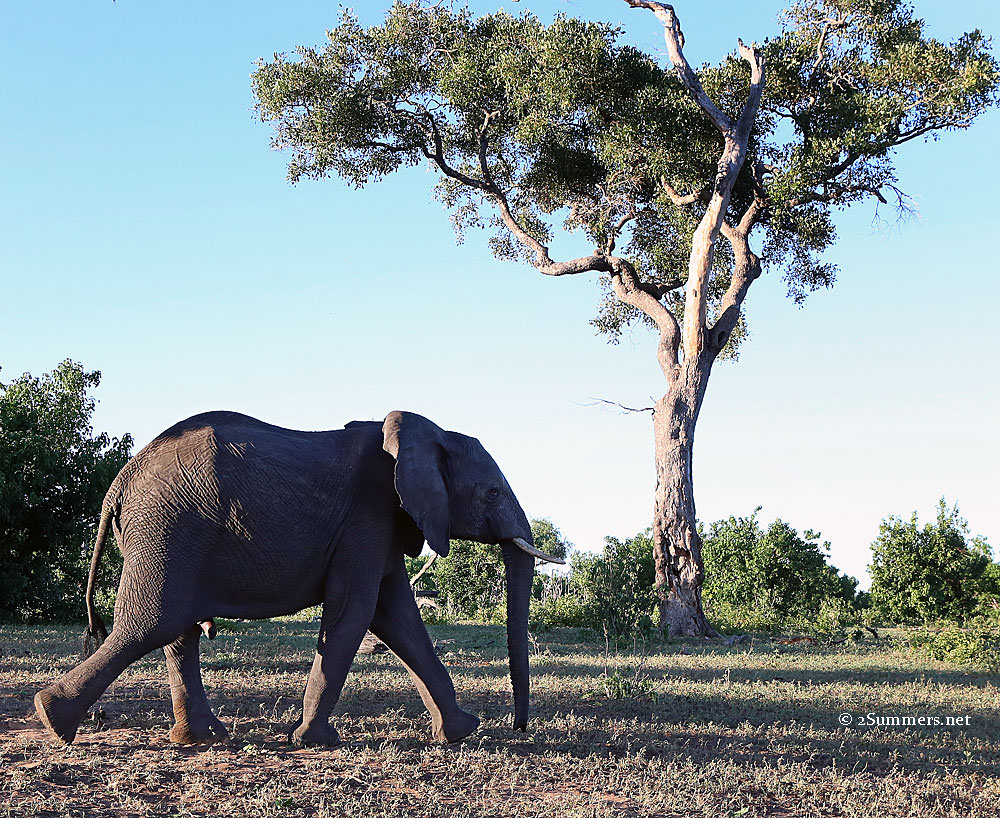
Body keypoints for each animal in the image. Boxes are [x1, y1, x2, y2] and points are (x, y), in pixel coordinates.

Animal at [34, 409, 562, 747]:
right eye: (493, 493)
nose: (517, 728)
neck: (424, 434)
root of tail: (119, 482)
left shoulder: (383, 526)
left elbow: (398, 618)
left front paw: (461, 731)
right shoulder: (366, 518)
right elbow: (356, 612)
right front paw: (315, 741)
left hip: (165, 534)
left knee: (175, 631)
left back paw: (201, 739)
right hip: (168, 527)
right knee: (148, 625)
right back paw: (52, 719)